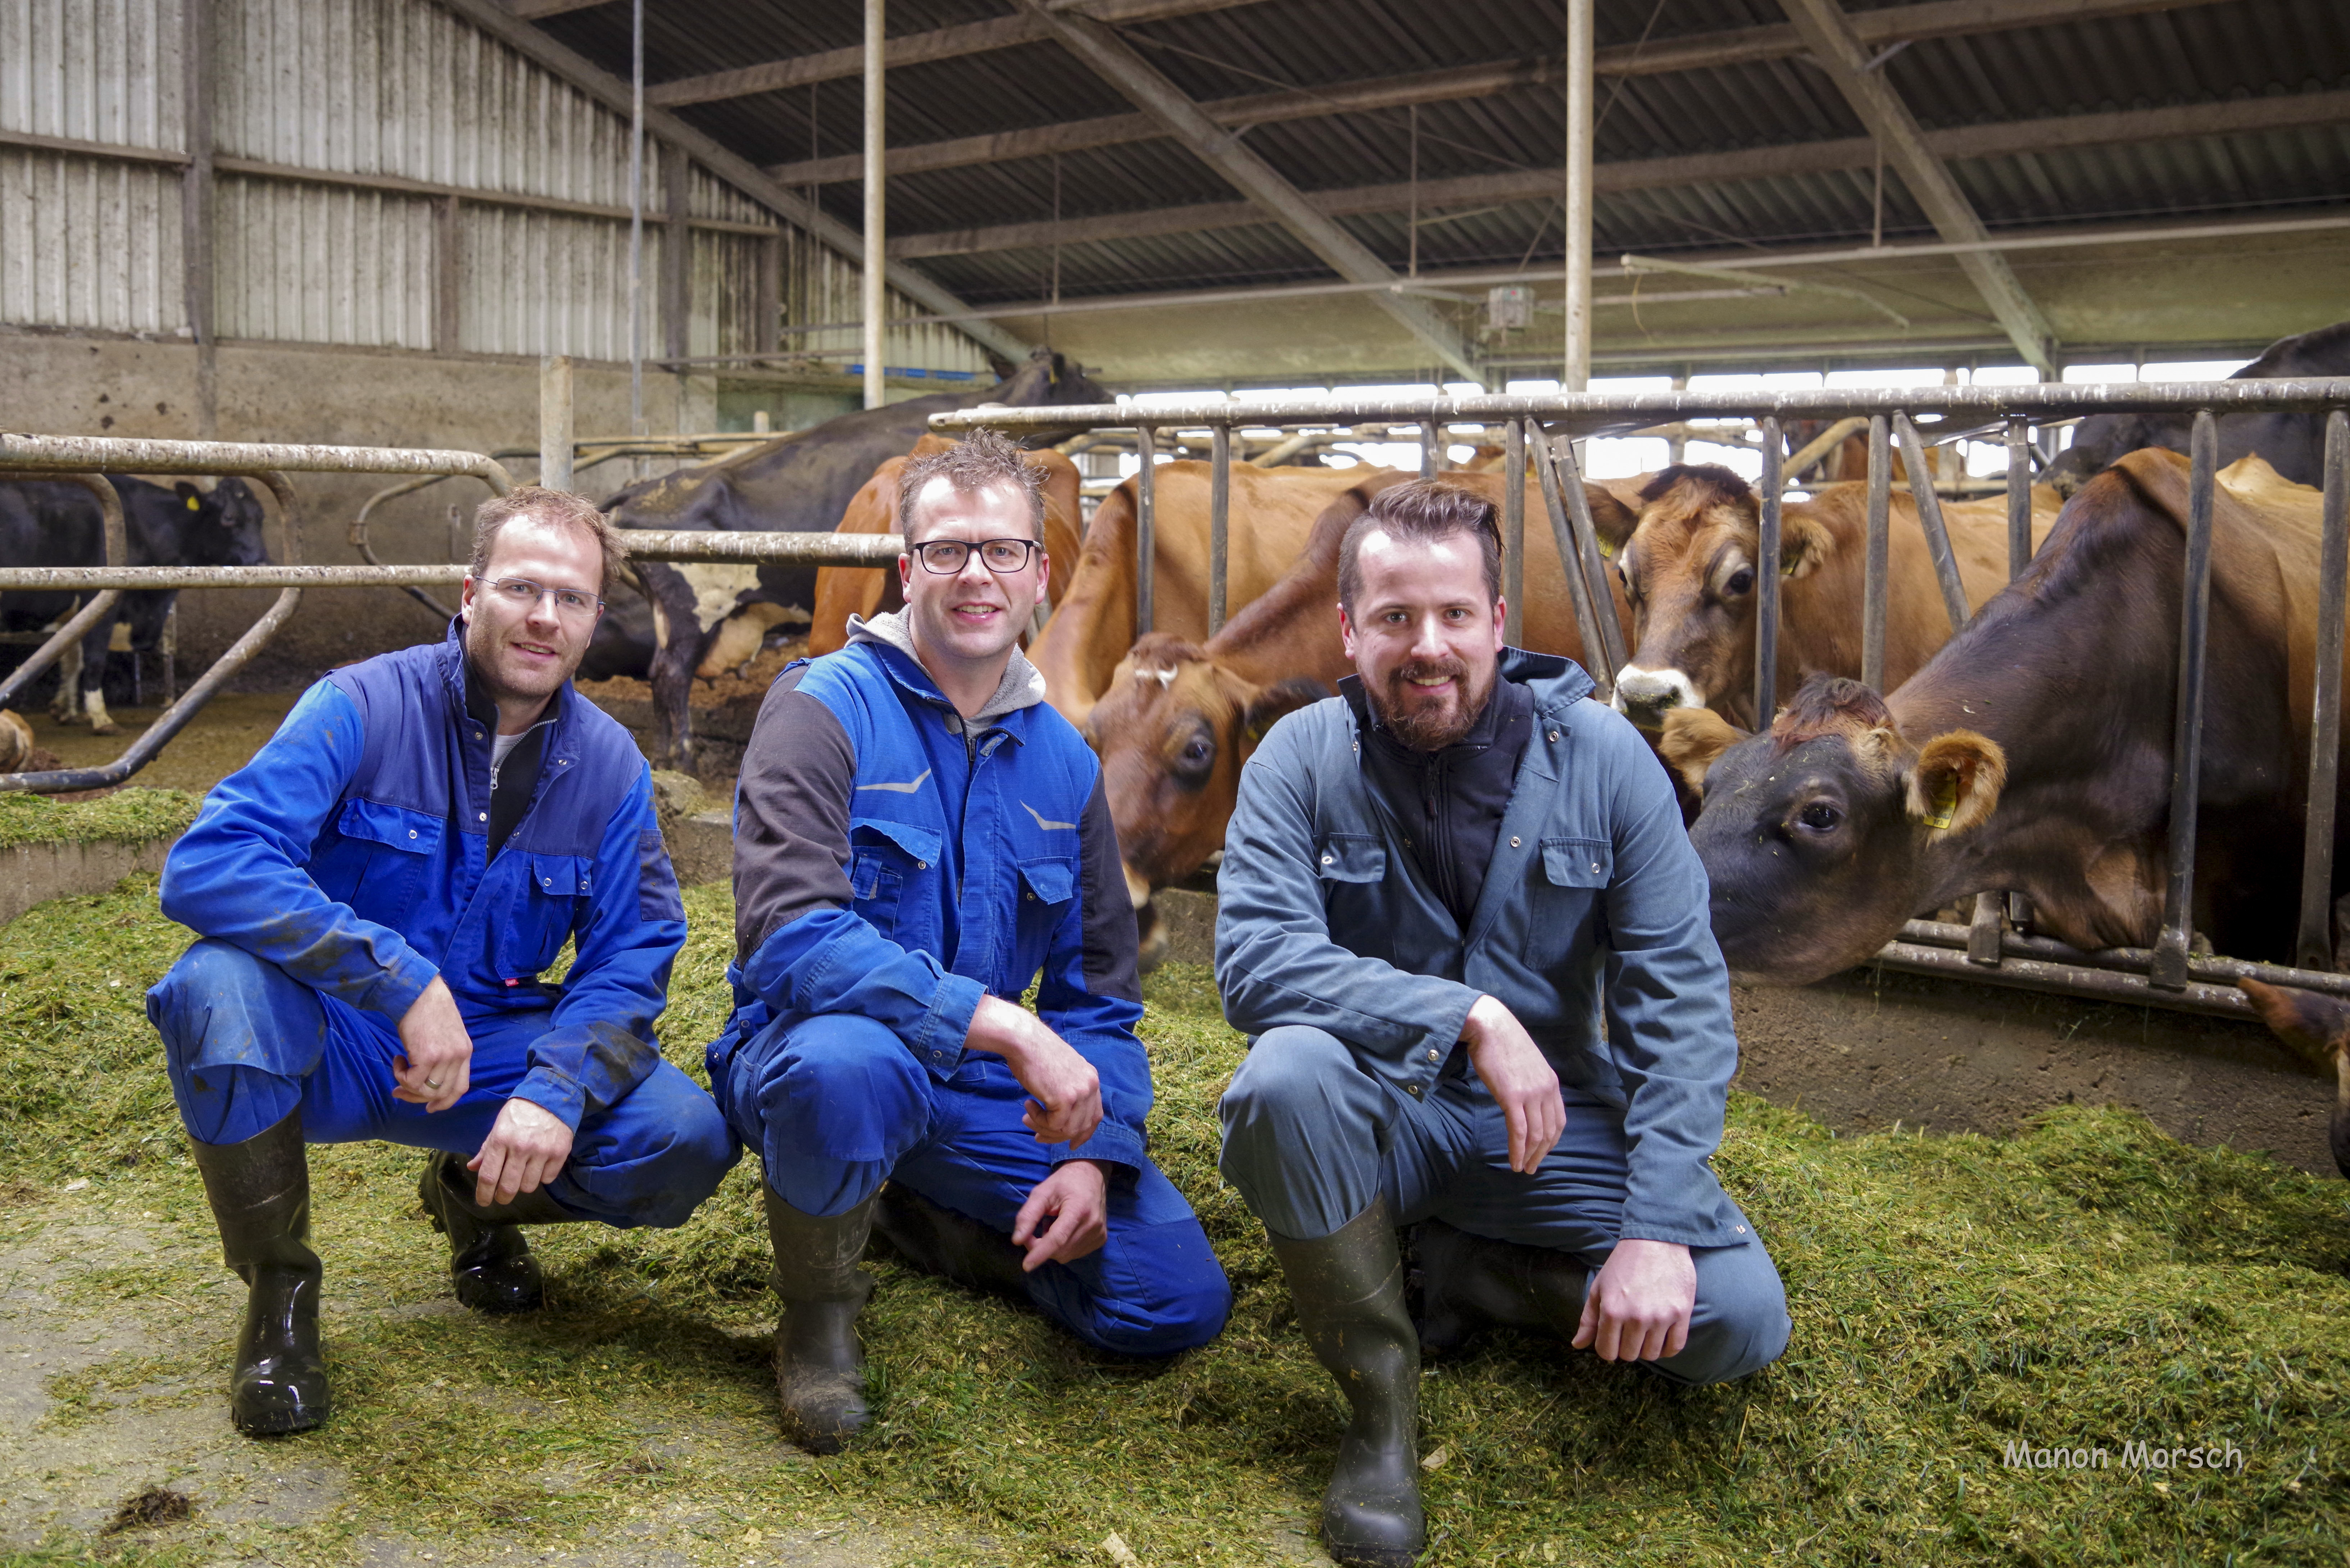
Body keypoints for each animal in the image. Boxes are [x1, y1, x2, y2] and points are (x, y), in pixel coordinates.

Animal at [0, 472, 270, 738]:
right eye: (229, 518)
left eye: (261, 517)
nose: (263, 563)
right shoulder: (102, 599)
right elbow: (94, 657)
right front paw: (102, 718)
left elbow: (70, 655)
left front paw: (65, 711)